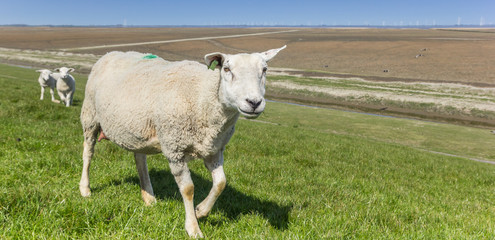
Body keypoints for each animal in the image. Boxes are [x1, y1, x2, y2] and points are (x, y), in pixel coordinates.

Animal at [78, 46, 286, 237]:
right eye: (227, 69)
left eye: (265, 69)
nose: (254, 102)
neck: (204, 97)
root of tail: (111, 53)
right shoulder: (174, 149)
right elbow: (188, 189)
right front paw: (193, 227)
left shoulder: (214, 150)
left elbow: (221, 183)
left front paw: (201, 211)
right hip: (90, 116)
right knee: (88, 153)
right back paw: (85, 189)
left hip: (139, 127)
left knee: (140, 159)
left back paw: (149, 196)